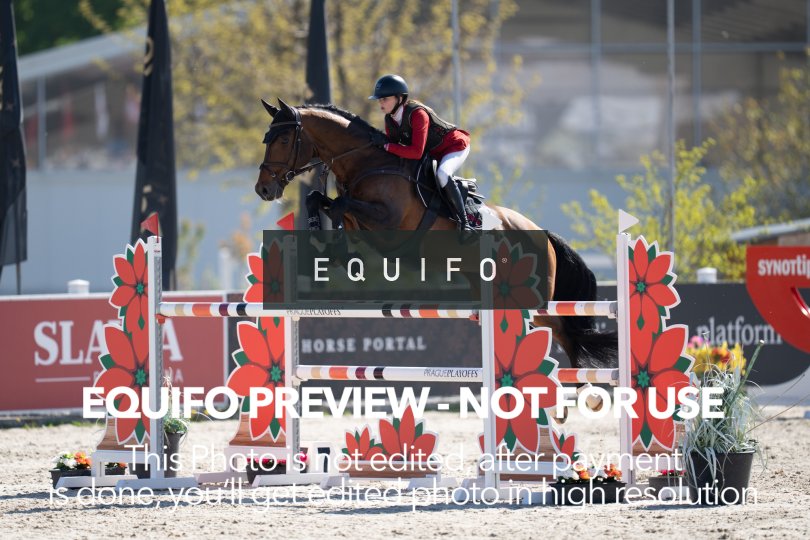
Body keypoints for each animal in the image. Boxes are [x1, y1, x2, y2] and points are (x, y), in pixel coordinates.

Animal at [254, 98, 616, 372]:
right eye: (267, 139)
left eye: (283, 140)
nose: (263, 189)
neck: (365, 162)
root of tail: (542, 235)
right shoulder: (364, 219)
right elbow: (322, 201)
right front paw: (325, 238)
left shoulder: (387, 222)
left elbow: (340, 205)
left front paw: (339, 250)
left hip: (537, 300)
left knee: (567, 333)